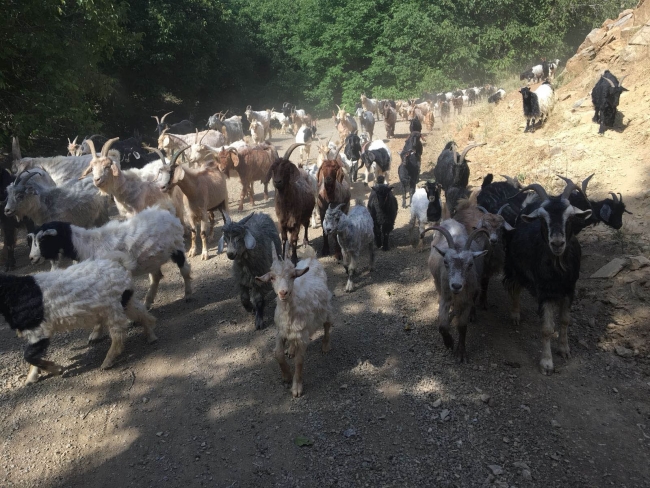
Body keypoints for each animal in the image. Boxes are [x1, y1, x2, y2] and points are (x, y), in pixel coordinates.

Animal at [254, 244, 332, 396]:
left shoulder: (302, 335)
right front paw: (286, 376)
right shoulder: (281, 331)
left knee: (327, 325)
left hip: (326, 309)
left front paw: (296, 387)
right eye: (272, 278)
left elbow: (299, 361)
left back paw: (325, 347)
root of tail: (311, 258)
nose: (283, 292)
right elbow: (278, 354)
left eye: (292, 276)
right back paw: (290, 349)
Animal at [420, 221, 486, 362]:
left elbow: (462, 326)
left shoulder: (467, 300)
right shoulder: (445, 297)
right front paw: (449, 343)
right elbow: (443, 326)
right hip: (437, 283)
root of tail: (450, 221)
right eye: (445, 262)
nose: (456, 285)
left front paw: (461, 352)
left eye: (470, 264)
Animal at [502, 181, 592, 376]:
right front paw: (547, 364)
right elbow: (546, 329)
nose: (557, 243)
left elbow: (565, 320)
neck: (558, 267)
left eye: (570, 217)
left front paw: (564, 350)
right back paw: (515, 315)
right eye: (542, 219)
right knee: (514, 288)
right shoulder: (544, 292)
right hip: (514, 266)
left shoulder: (569, 289)